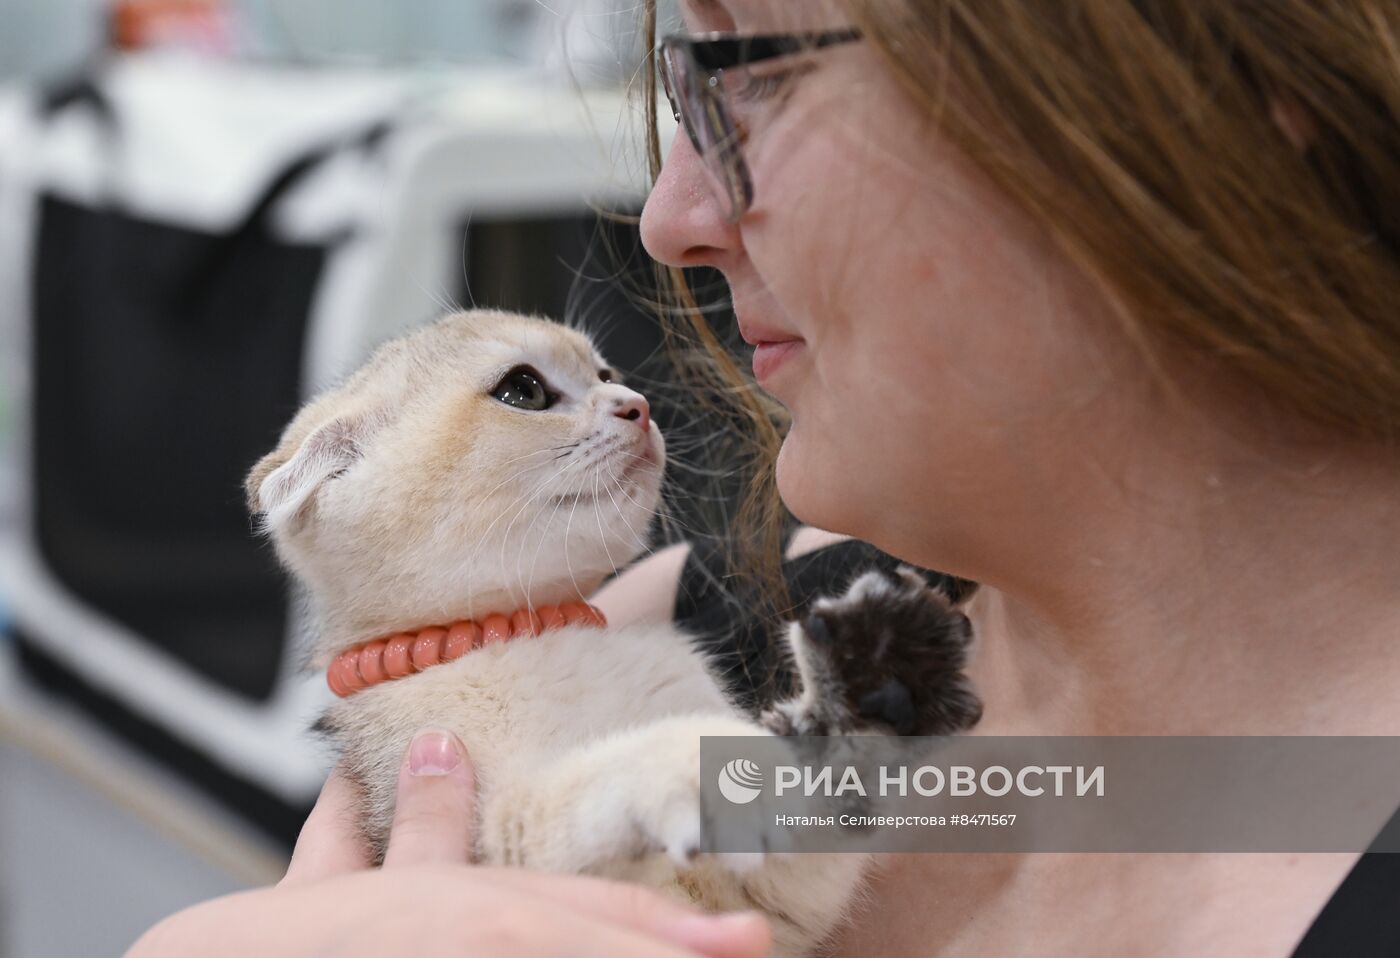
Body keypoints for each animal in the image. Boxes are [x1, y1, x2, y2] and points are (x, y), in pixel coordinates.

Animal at [246, 310, 868, 952]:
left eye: (605, 374)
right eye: (523, 390)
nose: (637, 404)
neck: (538, 635)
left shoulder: (771, 908)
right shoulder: (502, 840)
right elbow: (591, 782)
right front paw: (683, 759)